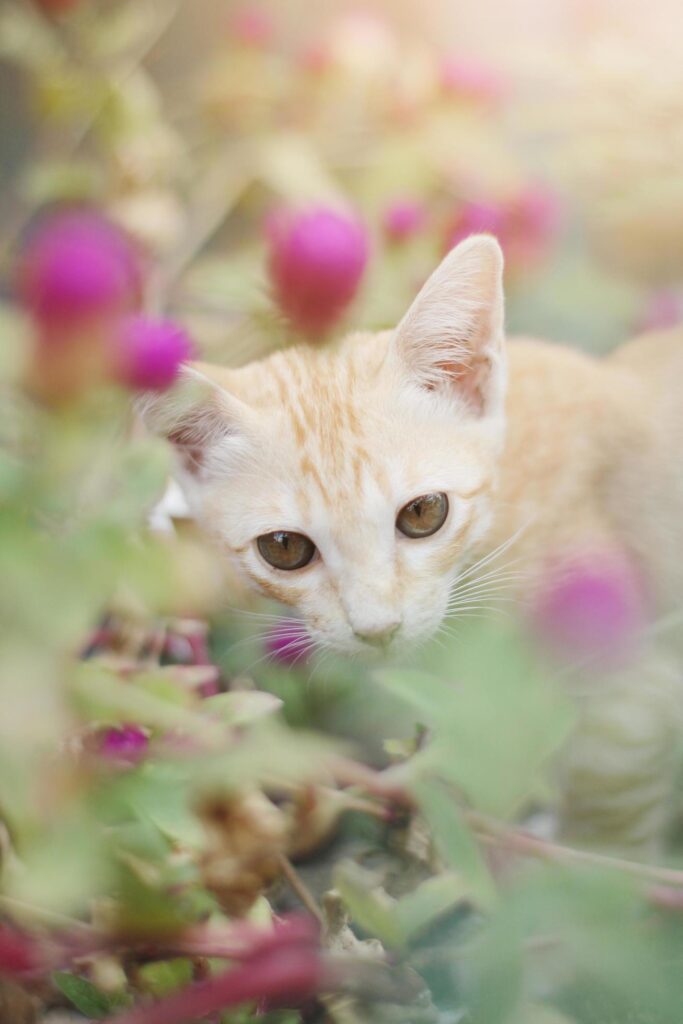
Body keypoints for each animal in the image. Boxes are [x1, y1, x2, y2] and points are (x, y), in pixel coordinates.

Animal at [144, 235, 683, 851]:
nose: (377, 629)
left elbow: (608, 799)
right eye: (283, 547)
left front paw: (583, 854)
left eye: (423, 513)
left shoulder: (637, 671)